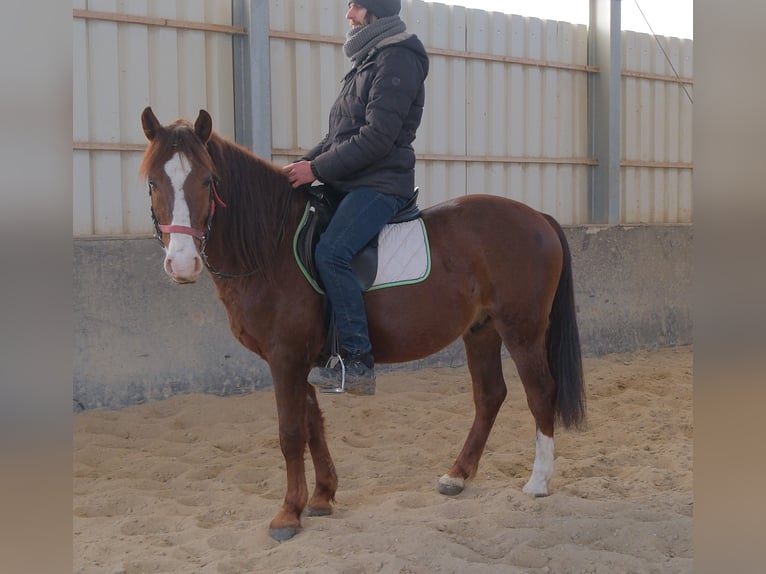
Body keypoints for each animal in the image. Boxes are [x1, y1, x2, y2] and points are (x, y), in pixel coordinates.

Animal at [139, 107, 586, 541]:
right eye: (153, 182)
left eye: (208, 180)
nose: (182, 264)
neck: (273, 245)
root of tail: (537, 217)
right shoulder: (303, 361)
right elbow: (313, 425)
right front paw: (321, 497)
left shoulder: (286, 358)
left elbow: (290, 432)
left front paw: (287, 514)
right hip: (482, 330)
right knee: (490, 395)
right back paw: (457, 476)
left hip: (522, 329)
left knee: (540, 392)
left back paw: (538, 482)